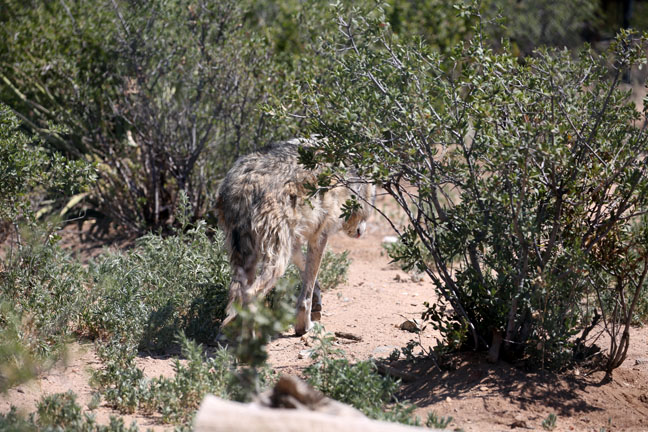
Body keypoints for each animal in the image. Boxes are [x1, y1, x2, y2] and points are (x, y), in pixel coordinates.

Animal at [215, 138, 375, 335]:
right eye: (373, 200)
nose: (362, 231)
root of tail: (244, 185)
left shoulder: (295, 242)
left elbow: (307, 274)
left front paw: (317, 303)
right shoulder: (319, 235)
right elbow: (307, 287)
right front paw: (304, 325)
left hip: (248, 257)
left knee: (238, 295)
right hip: (277, 262)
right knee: (250, 294)